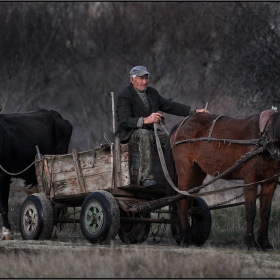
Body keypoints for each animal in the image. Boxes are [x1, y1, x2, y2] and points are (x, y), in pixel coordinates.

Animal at [165, 108, 280, 250]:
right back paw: (186, 237)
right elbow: (250, 212)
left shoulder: (270, 182)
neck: (263, 137)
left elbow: (265, 213)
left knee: (187, 202)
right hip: (185, 170)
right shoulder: (250, 179)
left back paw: (182, 236)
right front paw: (251, 242)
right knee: (182, 202)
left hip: (196, 174)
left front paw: (265, 243)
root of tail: (181, 124)